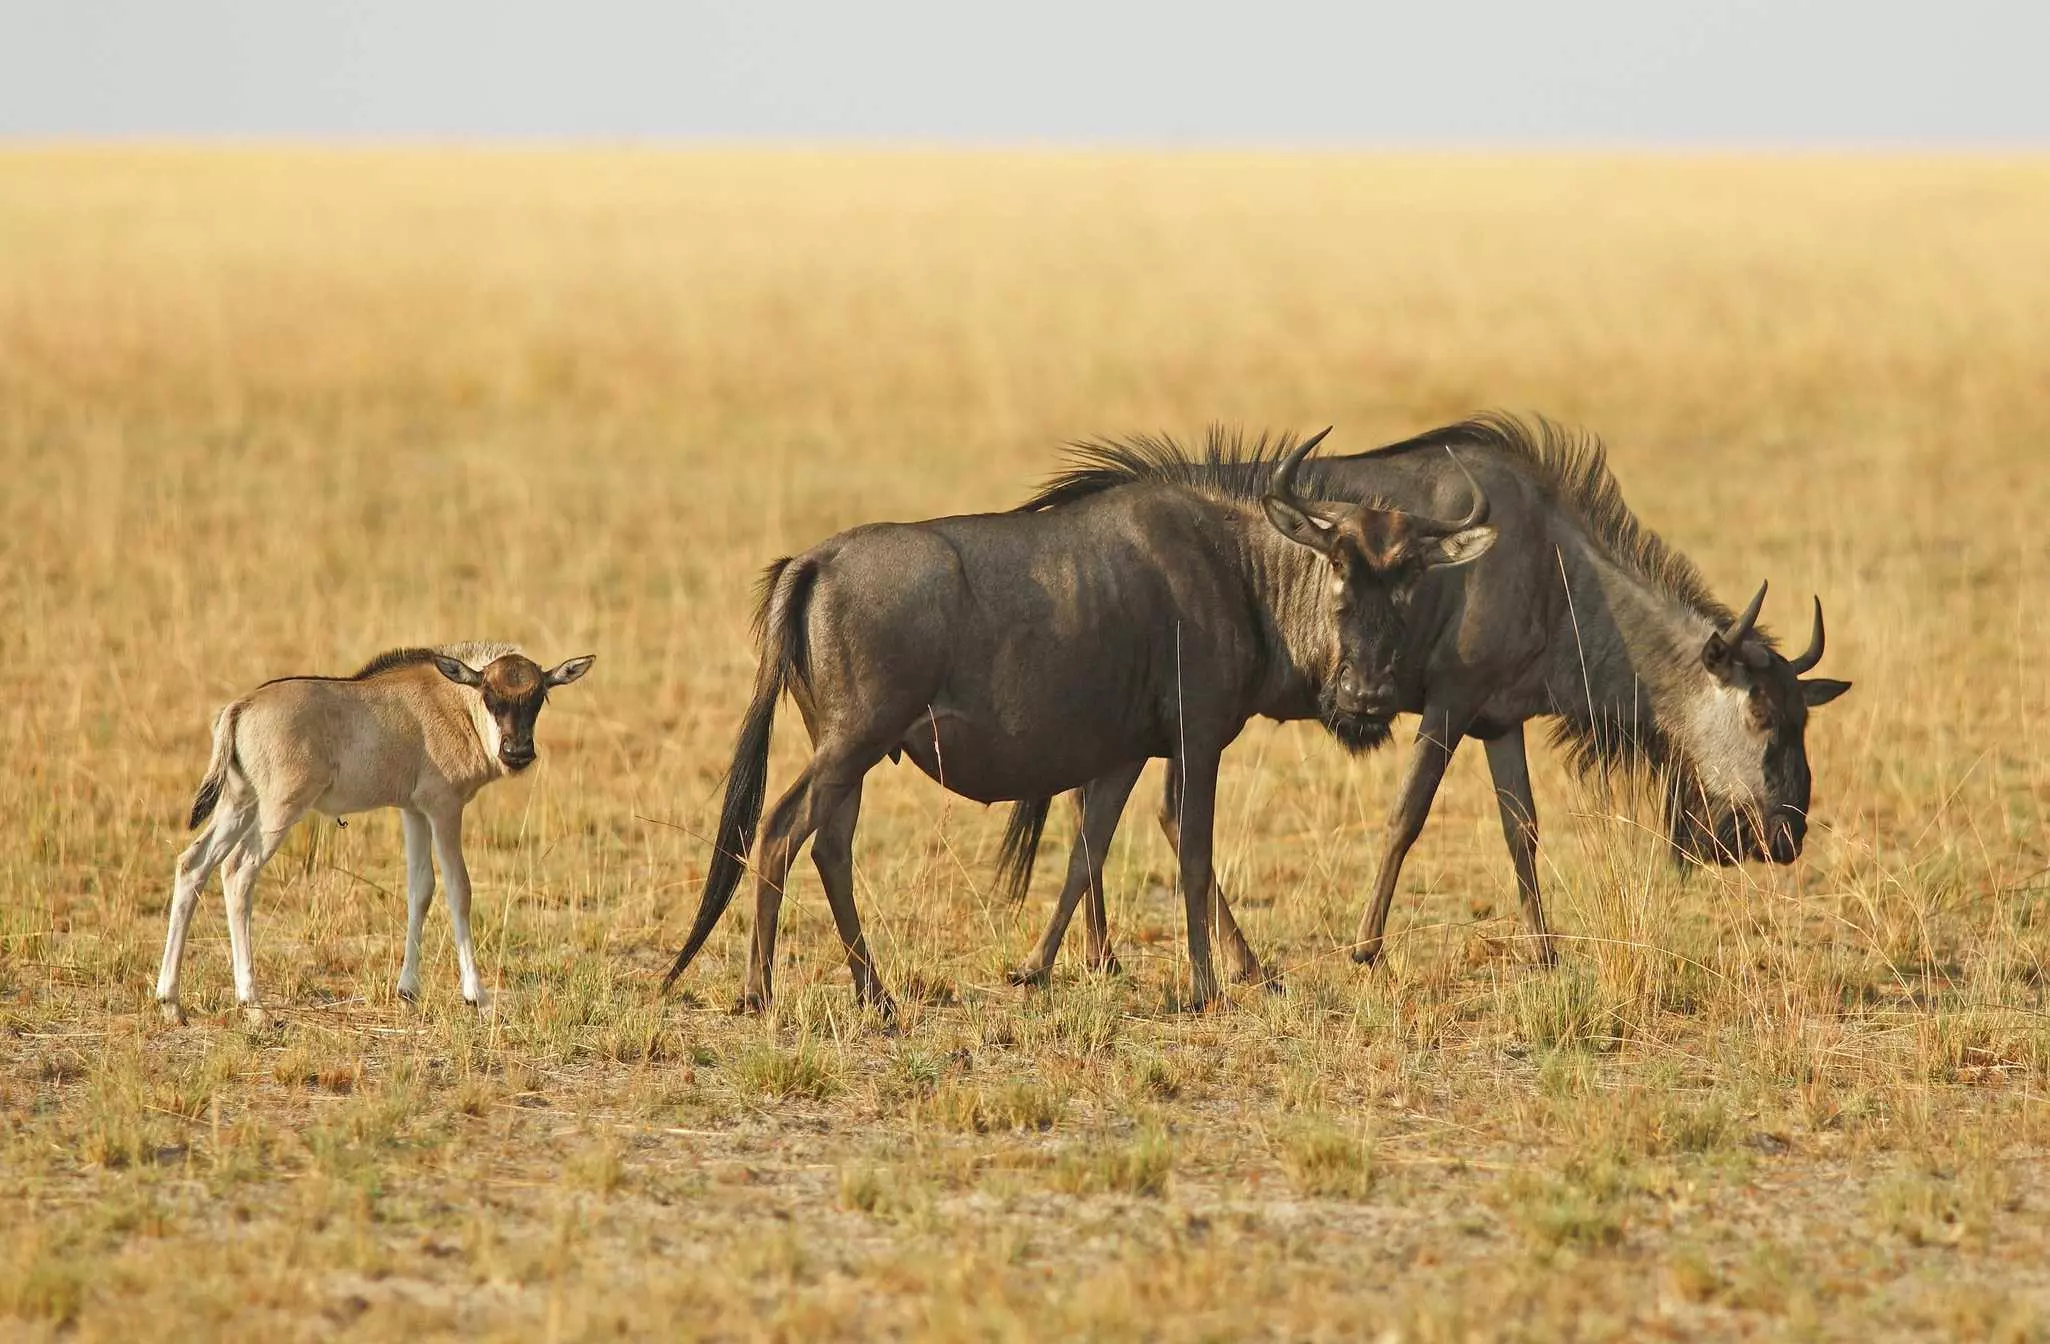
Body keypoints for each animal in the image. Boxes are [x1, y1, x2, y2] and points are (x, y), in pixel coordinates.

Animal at [156, 643, 594, 1024]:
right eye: (490, 696)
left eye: (539, 697)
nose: (517, 752)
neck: (455, 704)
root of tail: (240, 706)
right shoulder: (444, 808)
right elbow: (459, 890)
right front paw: (478, 998)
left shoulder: (414, 812)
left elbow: (421, 890)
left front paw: (408, 991)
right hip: (278, 809)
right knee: (238, 872)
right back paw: (253, 1004)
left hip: (239, 805)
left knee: (193, 864)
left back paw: (171, 1001)